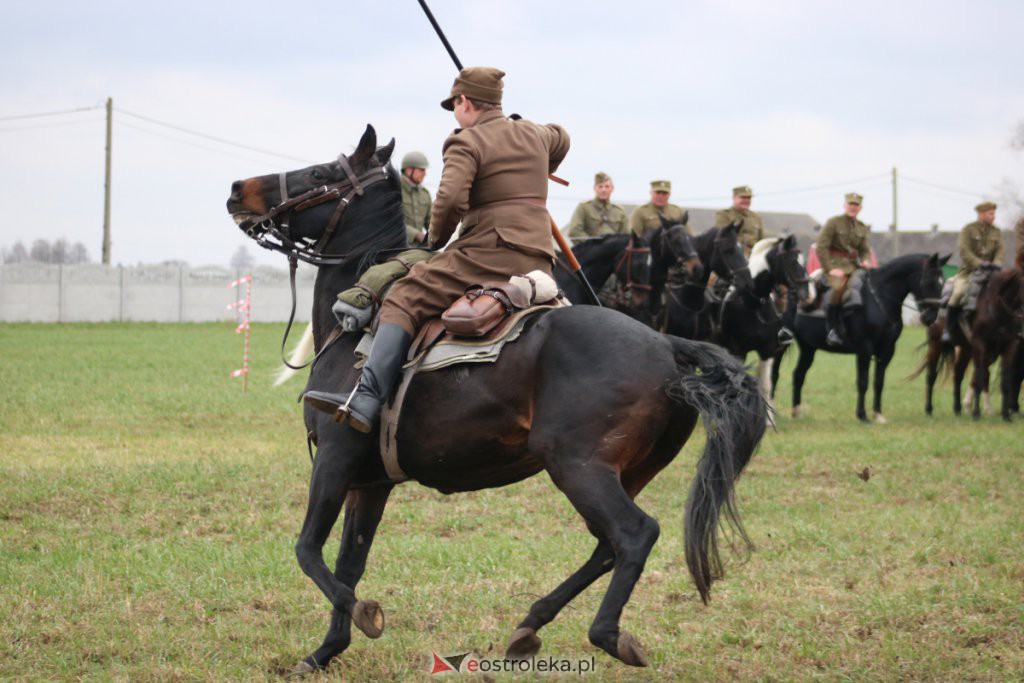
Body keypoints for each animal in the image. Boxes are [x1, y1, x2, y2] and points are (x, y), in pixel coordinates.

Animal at [226, 125, 770, 675]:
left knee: (634, 534)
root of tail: (666, 345)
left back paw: (607, 634)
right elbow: (347, 562)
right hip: (627, 472)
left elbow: (308, 551)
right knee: (607, 546)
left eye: (320, 173)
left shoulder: (334, 461)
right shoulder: (370, 483)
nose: (236, 189)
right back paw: (530, 624)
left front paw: (363, 617)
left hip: (579, 467)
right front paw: (325, 651)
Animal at [778, 250, 946, 421]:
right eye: (929, 281)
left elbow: (879, 382)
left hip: (808, 349)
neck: (879, 299)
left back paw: (797, 412)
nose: (931, 317)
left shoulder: (887, 351)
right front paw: (862, 415)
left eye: (942, 282)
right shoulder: (864, 349)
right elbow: (863, 382)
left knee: (798, 375)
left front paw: (878, 414)